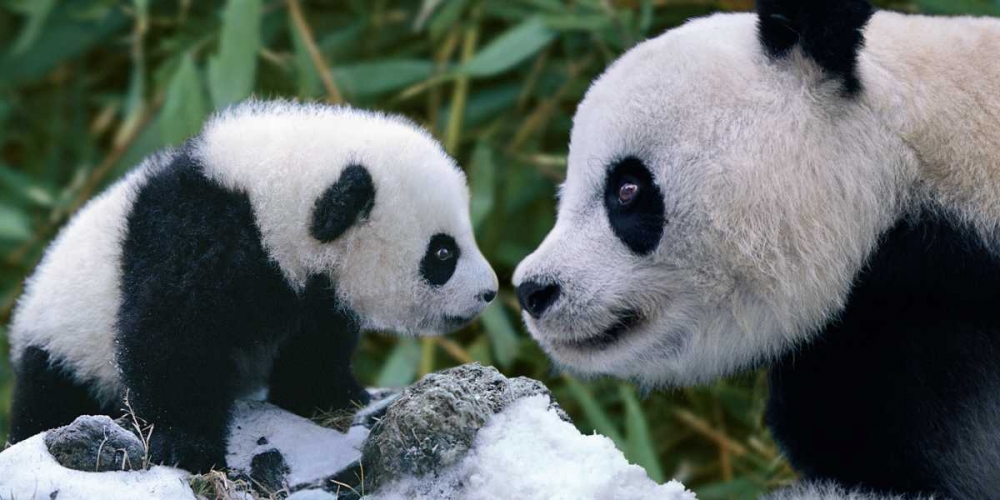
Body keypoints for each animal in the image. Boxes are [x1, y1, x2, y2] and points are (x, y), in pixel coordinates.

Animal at [7, 100, 499, 472]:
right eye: (443, 253)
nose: (489, 292)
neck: (270, 196)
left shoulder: (311, 292)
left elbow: (315, 344)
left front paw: (330, 396)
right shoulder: (195, 238)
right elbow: (171, 338)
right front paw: (188, 447)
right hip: (67, 348)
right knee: (51, 399)